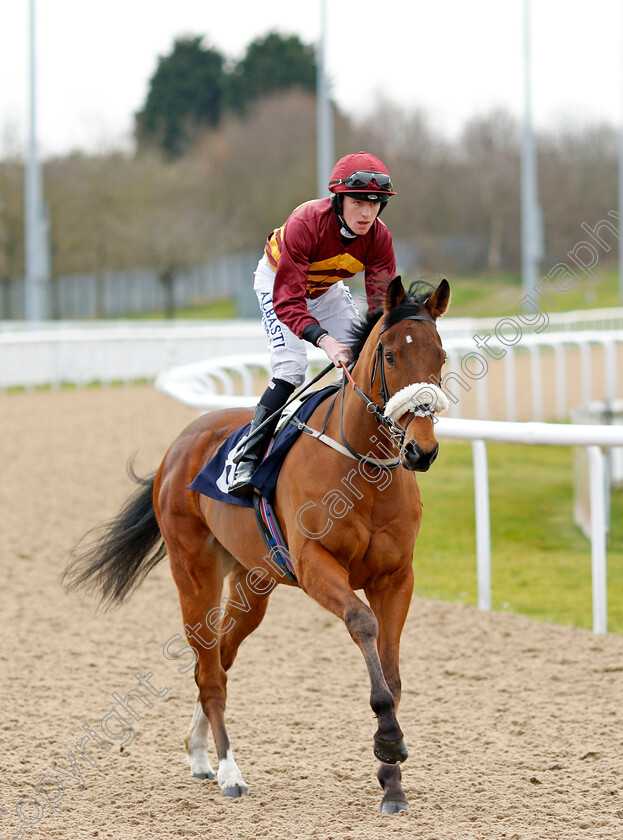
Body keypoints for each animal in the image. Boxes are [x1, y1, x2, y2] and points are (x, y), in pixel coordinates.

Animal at [66, 278, 450, 816]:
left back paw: (198, 752)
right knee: (208, 669)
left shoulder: (396, 577)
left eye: (440, 355)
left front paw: (391, 781)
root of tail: (178, 446)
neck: (361, 465)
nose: (422, 450)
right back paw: (228, 771)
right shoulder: (315, 566)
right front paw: (389, 741)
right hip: (194, 572)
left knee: (219, 659)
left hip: (252, 582)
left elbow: (391, 672)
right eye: (391, 356)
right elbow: (362, 624)